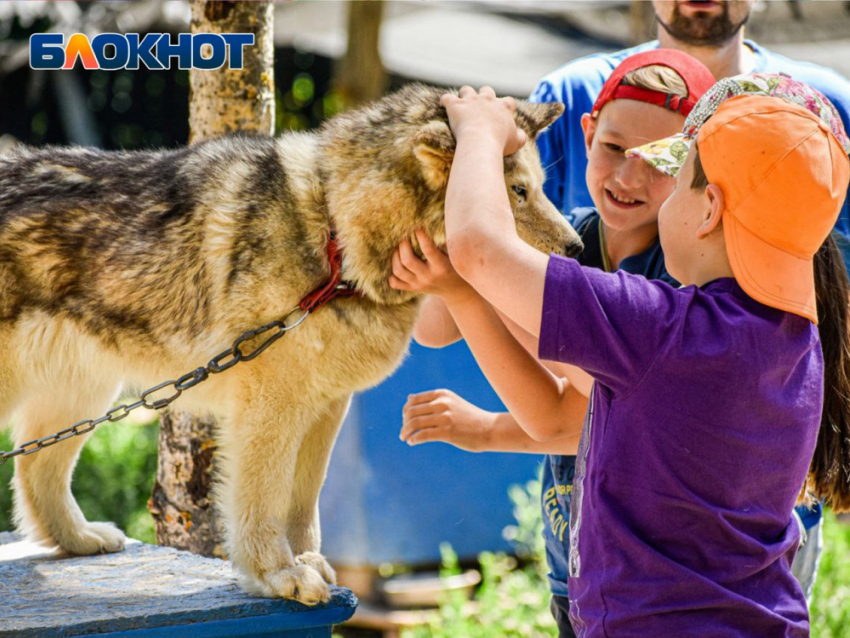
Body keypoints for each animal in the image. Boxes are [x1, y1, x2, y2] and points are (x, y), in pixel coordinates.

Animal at [0, 84, 580, 604]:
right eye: (518, 194)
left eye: (540, 188)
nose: (577, 249)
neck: (335, 235)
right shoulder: (271, 406)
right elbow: (264, 498)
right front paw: (279, 575)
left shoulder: (324, 407)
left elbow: (303, 503)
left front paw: (306, 561)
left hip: (83, 397)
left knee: (32, 470)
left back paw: (80, 540)